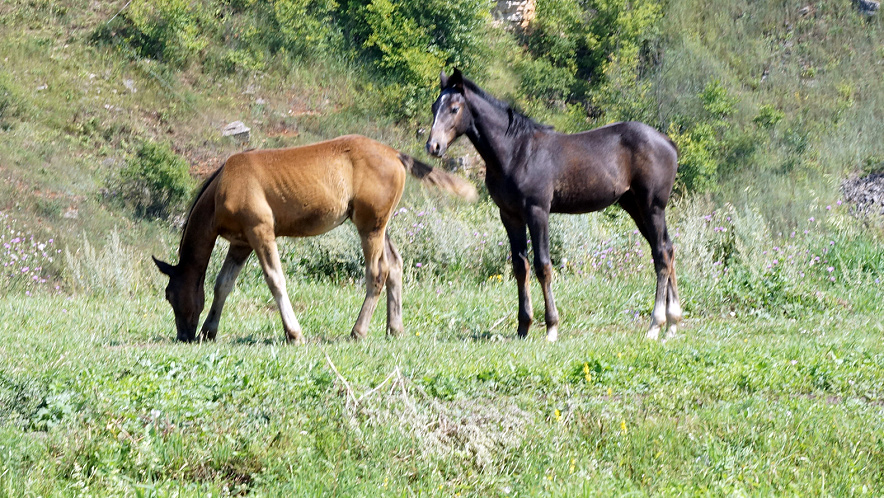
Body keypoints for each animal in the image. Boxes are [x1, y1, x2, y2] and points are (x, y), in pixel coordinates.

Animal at [428, 71, 684, 342]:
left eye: (454, 108)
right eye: (434, 107)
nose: (433, 146)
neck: (516, 151)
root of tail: (667, 141)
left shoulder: (537, 211)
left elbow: (543, 266)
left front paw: (551, 326)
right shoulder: (510, 215)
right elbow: (520, 266)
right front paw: (523, 326)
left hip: (652, 207)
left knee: (661, 255)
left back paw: (656, 324)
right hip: (635, 207)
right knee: (667, 248)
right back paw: (672, 323)